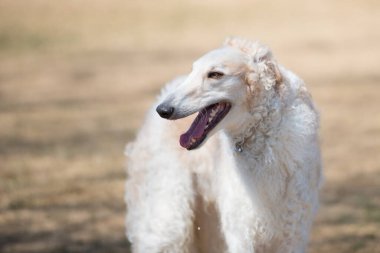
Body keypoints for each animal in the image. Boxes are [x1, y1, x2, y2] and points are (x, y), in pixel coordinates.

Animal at [126, 37, 322, 253]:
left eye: (215, 74)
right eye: (193, 70)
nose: (163, 110)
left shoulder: (293, 233)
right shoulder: (242, 231)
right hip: (169, 218)